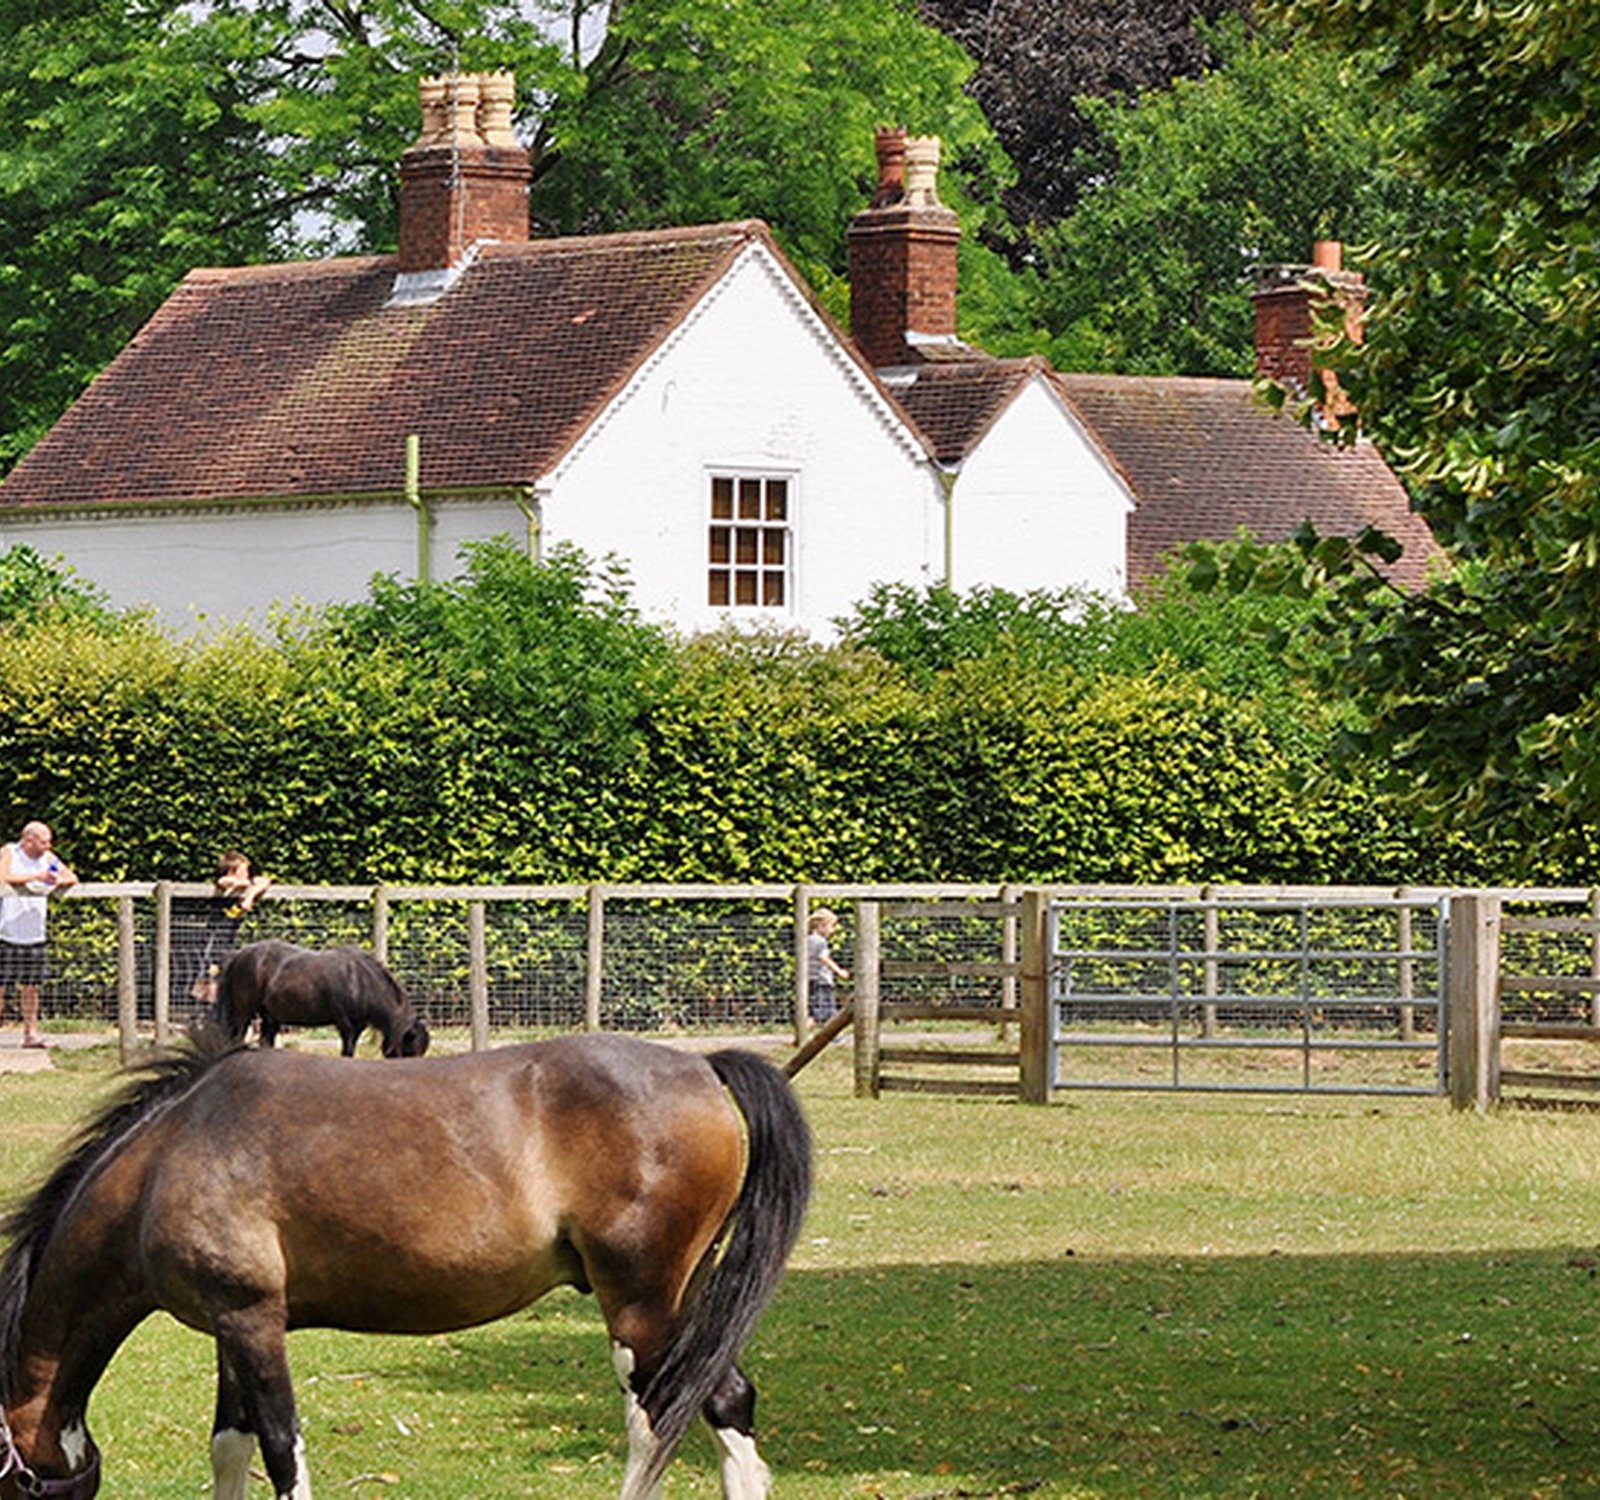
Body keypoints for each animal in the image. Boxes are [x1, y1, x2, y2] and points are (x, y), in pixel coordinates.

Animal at [0, 1029, 812, 1496]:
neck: (170, 1156)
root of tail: (702, 1066)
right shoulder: (233, 1329)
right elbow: (230, 1448)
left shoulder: (252, 1323)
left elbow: (281, 1451)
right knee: (725, 1400)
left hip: (641, 1308)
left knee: (663, 1418)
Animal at [219, 933, 435, 1055]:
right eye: (408, 1051)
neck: (360, 981)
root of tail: (239, 955)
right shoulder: (344, 1023)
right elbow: (347, 1048)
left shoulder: (359, 1025)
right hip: (242, 1013)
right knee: (235, 1037)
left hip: (270, 1015)